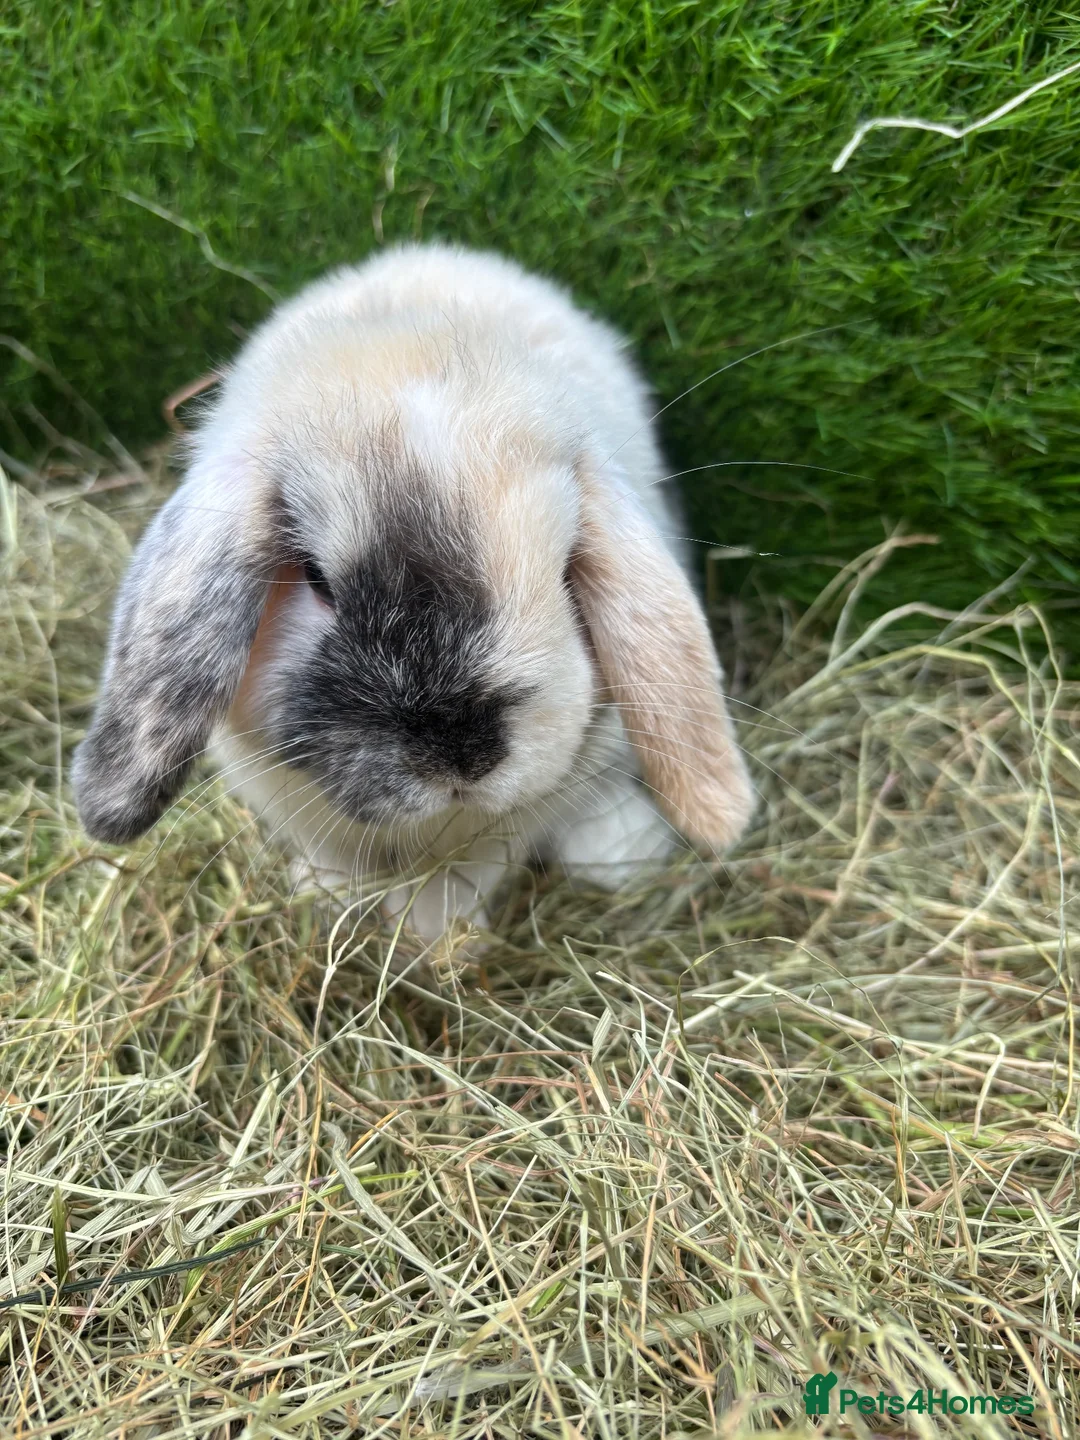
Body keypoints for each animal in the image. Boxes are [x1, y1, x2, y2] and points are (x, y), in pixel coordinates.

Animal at [73, 242, 755, 942]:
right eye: (316, 579)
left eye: (566, 570)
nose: (461, 754)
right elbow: (334, 857)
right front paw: (327, 901)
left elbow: (464, 874)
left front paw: (437, 938)